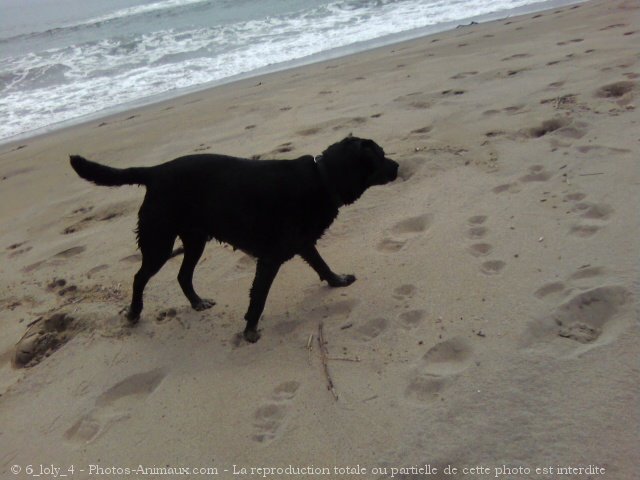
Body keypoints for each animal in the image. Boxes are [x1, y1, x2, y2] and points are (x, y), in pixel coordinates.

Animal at [71, 137, 400, 344]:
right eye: (381, 155)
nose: (398, 166)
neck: (322, 178)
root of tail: (155, 171)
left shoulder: (303, 243)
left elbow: (322, 265)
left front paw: (338, 281)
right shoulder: (270, 259)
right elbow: (259, 297)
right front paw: (250, 330)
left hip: (194, 239)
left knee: (182, 275)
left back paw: (197, 302)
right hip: (159, 241)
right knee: (140, 277)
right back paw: (134, 313)